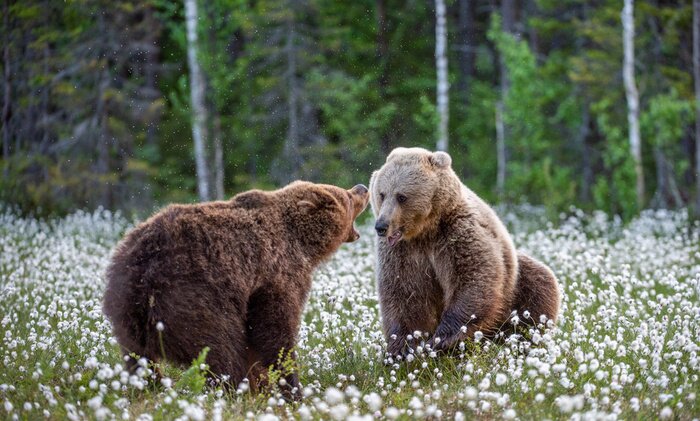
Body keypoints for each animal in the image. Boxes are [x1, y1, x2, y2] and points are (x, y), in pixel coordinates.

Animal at [102, 181, 369, 399]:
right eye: (346, 196)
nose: (362, 187)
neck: (303, 245)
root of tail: (142, 274)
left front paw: (264, 386)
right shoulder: (276, 273)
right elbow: (274, 329)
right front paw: (289, 388)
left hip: (126, 312)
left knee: (139, 359)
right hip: (193, 299)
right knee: (222, 351)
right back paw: (233, 392)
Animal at [368, 147, 560, 357]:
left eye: (401, 196)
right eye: (381, 194)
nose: (381, 226)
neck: (426, 231)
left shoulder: (458, 233)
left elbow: (473, 278)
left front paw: (440, 340)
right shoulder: (403, 251)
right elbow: (405, 293)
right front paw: (403, 349)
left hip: (515, 282)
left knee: (539, 284)